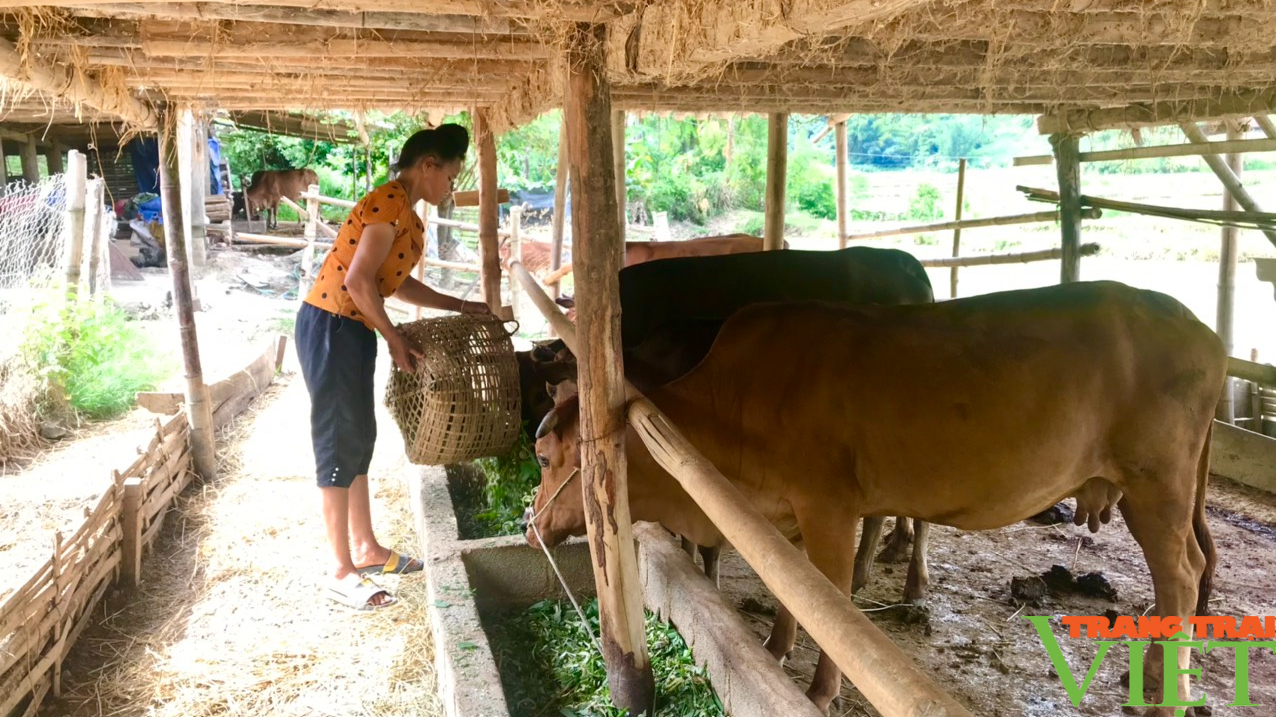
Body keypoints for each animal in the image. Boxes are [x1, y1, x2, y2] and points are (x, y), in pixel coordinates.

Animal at [530, 281, 1224, 709]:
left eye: (544, 457)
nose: (532, 522)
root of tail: (1202, 330)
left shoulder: (828, 508)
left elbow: (828, 596)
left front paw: (818, 690)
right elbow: (792, 589)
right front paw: (775, 648)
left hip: (1156, 487)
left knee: (1183, 574)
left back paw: (1165, 690)